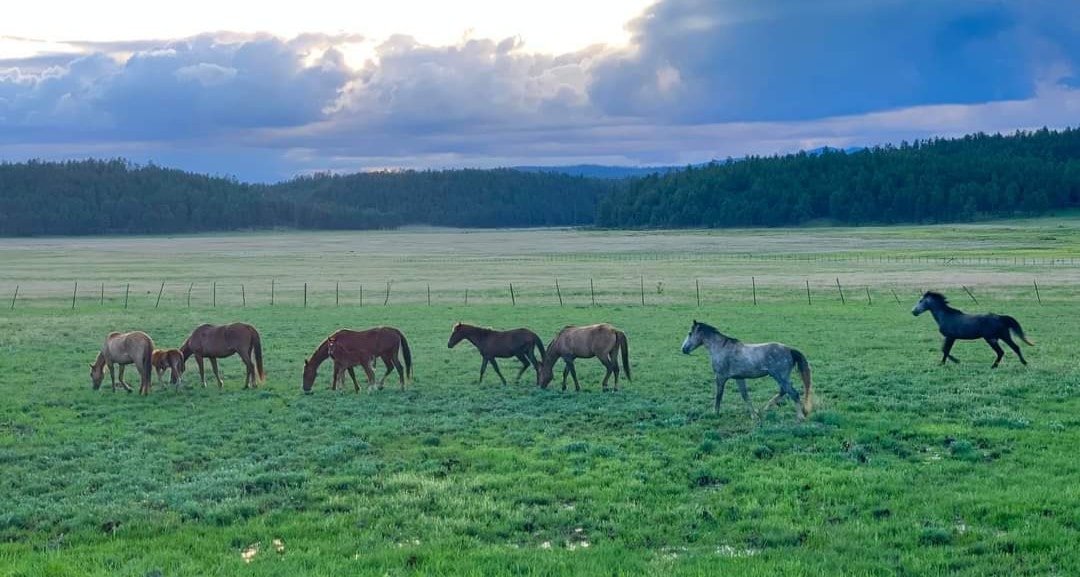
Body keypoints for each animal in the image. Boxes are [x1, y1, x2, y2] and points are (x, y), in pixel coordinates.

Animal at [681, 320, 813, 421]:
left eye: (690, 333)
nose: (683, 349)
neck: (720, 348)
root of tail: (789, 349)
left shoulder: (720, 377)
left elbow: (719, 395)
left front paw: (714, 413)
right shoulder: (739, 378)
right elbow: (745, 396)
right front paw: (754, 415)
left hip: (780, 376)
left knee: (793, 393)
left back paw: (800, 417)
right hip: (779, 377)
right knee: (784, 391)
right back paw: (766, 408)